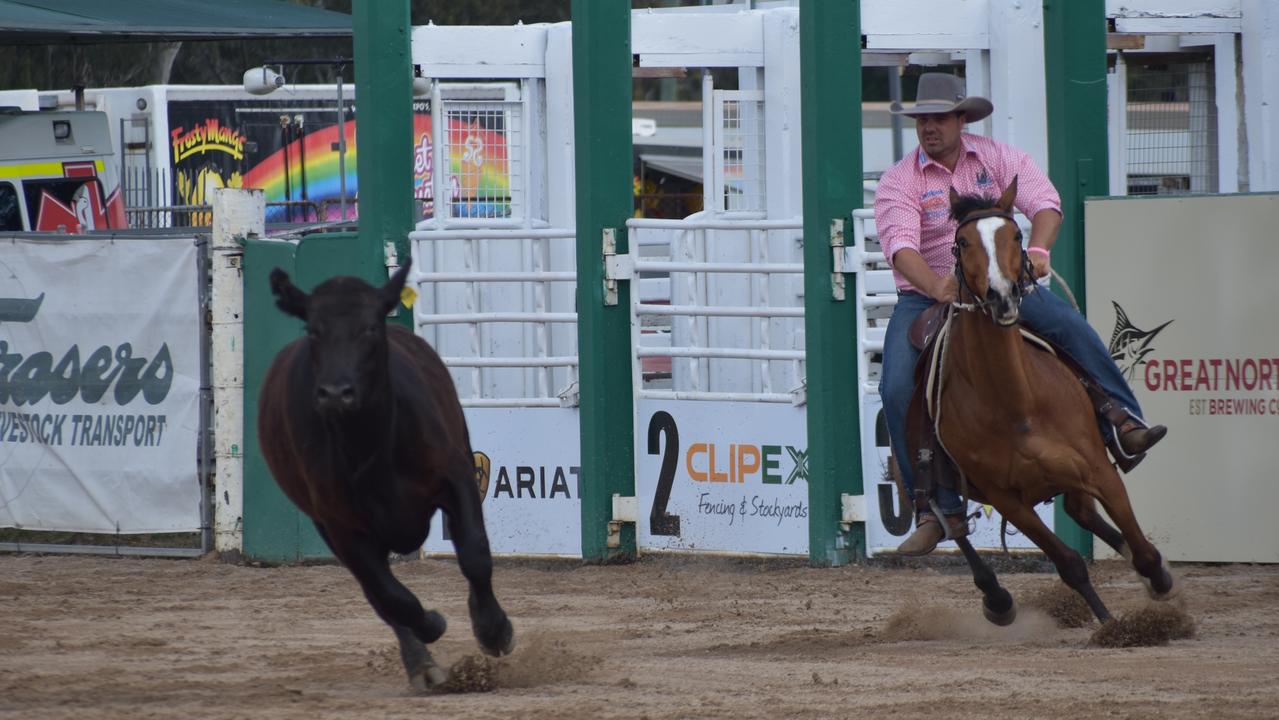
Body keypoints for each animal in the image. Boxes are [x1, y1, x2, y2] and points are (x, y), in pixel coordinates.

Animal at [915, 180, 1171, 626]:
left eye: (1016, 235)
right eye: (962, 242)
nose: (1001, 296)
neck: (1018, 404)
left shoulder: (1099, 469)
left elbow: (1142, 549)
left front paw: (1157, 581)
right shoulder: (1007, 499)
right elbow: (1069, 563)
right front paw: (1109, 625)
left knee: (1084, 513)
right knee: (955, 528)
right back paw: (996, 598)